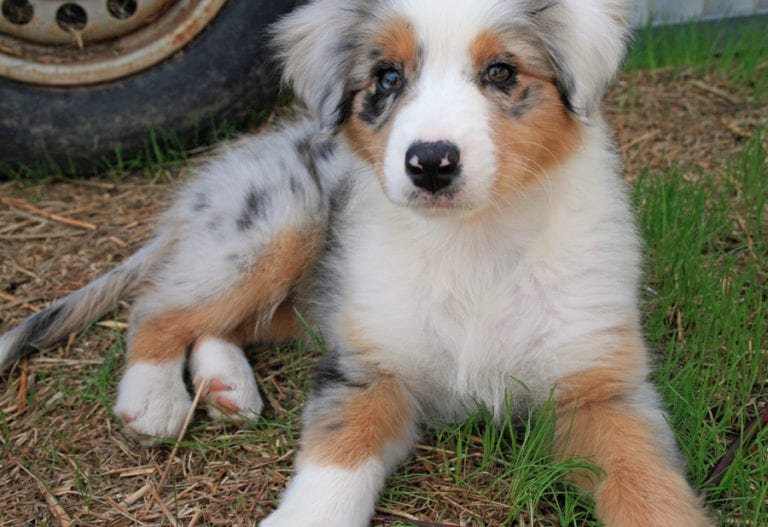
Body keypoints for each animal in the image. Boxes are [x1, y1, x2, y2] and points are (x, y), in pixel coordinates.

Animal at [0, 1, 712, 527]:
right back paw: (153, 397)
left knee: (223, 322)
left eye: (502, 73)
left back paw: (227, 386)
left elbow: (647, 483)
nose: (430, 163)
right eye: (388, 79)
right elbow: (337, 459)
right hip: (279, 226)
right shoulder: (368, 367)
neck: (472, 245)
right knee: (160, 307)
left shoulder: (603, 388)